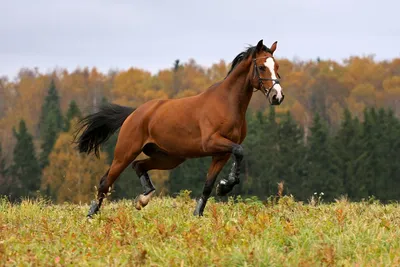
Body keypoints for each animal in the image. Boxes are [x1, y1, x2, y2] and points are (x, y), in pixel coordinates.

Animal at [75, 40, 286, 220]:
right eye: (261, 67)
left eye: (277, 68)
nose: (277, 96)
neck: (227, 103)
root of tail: (134, 113)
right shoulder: (211, 143)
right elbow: (240, 151)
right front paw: (225, 186)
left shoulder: (221, 153)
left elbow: (209, 184)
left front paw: (203, 209)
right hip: (125, 153)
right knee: (106, 182)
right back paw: (91, 216)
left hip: (169, 158)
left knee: (139, 165)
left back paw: (143, 199)